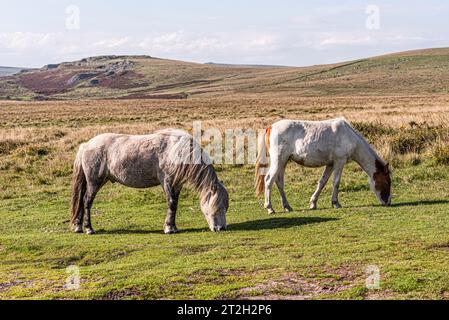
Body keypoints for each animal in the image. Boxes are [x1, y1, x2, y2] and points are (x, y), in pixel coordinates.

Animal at [72, 129, 231, 234]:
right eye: (217, 206)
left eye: (225, 206)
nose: (220, 228)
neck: (177, 150)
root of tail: (86, 145)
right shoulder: (167, 181)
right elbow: (171, 203)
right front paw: (169, 228)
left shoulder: (177, 184)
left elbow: (175, 204)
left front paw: (173, 226)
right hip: (94, 182)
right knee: (86, 201)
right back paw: (89, 229)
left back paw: (78, 227)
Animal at [254, 116, 390, 214]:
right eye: (387, 182)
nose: (388, 202)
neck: (349, 135)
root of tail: (270, 127)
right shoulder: (339, 161)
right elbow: (336, 182)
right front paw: (336, 203)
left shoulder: (330, 164)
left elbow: (322, 182)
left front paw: (313, 203)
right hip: (278, 161)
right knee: (269, 180)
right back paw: (270, 208)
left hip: (283, 162)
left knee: (279, 182)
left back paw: (287, 206)